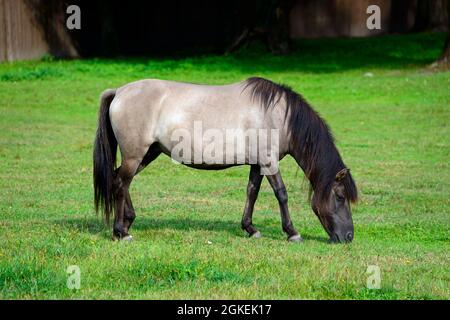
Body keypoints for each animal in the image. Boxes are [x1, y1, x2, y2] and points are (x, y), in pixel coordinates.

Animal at [92, 77, 358, 242]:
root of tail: (119, 92)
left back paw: (128, 222)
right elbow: (281, 194)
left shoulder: (257, 163)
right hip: (135, 155)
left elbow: (252, 192)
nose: (348, 237)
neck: (278, 116)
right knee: (120, 183)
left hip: (147, 153)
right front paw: (292, 232)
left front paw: (250, 228)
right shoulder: (269, 161)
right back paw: (121, 232)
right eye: (340, 196)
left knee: (119, 180)